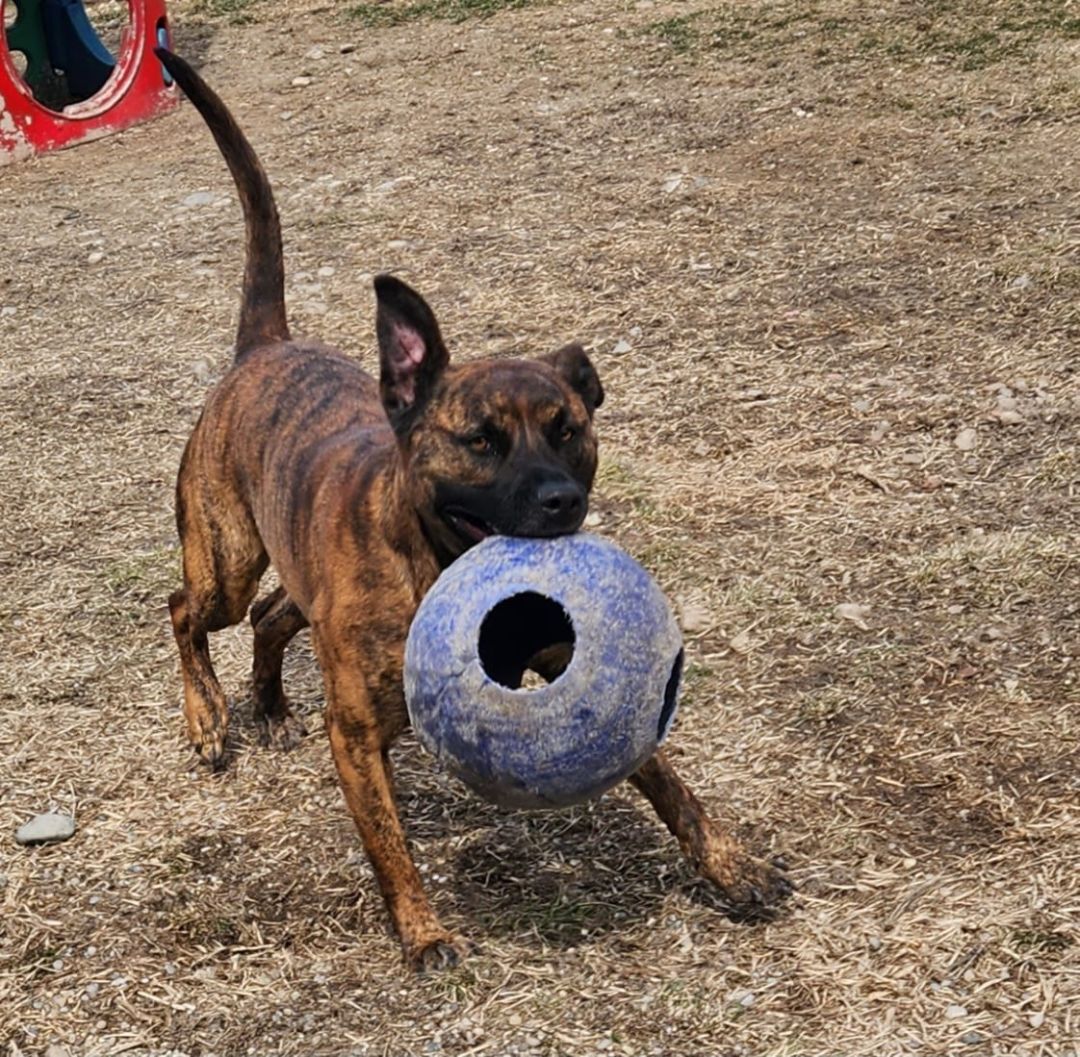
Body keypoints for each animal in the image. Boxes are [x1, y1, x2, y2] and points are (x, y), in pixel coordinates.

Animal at [156, 51, 790, 976]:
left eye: (569, 430)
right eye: (481, 440)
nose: (562, 501)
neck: (436, 556)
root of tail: (264, 348)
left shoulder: (573, 666)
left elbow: (671, 780)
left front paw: (730, 862)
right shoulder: (357, 737)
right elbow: (390, 846)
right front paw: (423, 929)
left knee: (273, 617)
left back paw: (267, 706)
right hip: (227, 558)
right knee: (186, 609)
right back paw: (209, 717)